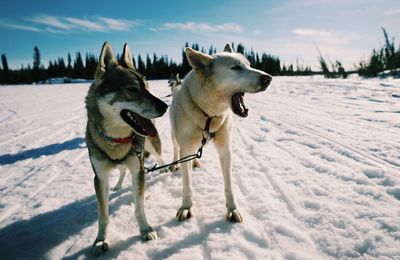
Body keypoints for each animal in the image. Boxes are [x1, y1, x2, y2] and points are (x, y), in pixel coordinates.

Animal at [86, 41, 167, 255]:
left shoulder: (138, 170)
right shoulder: (100, 178)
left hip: (153, 145)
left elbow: (139, 208)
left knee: (161, 158)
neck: (117, 140)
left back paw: (166, 170)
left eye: (147, 87)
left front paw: (145, 230)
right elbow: (103, 215)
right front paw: (101, 240)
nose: (165, 106)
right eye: (132, 89)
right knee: (121, 170)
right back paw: (118, 184)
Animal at [169, 43, 272, 222]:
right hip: (175, 137)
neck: (209, 114)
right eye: (236, 67)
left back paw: (194, 162)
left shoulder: (225, 150)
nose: (268, 78)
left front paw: (232, 208)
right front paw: (186, 207)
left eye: (249, 65)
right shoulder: (186, 148)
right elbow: (187, 184)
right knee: (176, 150)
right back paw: (176, 163)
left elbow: (228, 184)